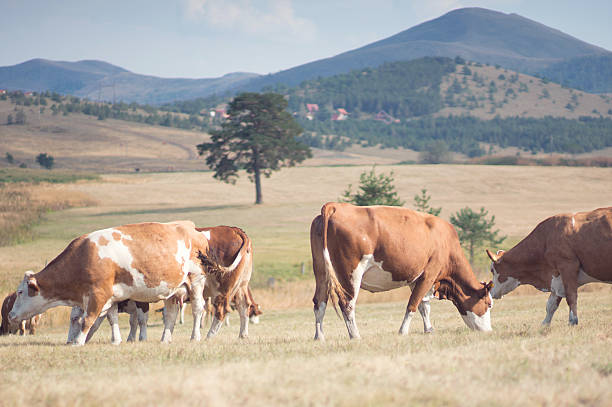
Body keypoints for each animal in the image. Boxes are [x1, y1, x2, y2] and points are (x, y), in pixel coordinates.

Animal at [5, 222, 214, 346]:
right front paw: (116, 340)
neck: (84, 257)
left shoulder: (98, 295)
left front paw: (78, 341)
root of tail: (190, 228)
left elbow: (87, 319)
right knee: (170, 315)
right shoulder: (110, 297)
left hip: (196, 281)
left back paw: (195, 336)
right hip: (172, 290)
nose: (10, 315)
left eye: (21, 292)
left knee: (198, 310)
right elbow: (112, 319)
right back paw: (165, 339)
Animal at [310, 202, 492, 342]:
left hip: (321, 271)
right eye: (489, 304)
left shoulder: (416, 278)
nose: (489, 331)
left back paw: (319, 337)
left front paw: (429, 329)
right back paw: (355, 336)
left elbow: (423, 306)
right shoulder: (429, 274)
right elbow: (413, 304)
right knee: (347, 304)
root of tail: (336, 206)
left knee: (319, 302)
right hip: (351, 274)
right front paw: (403, 332)